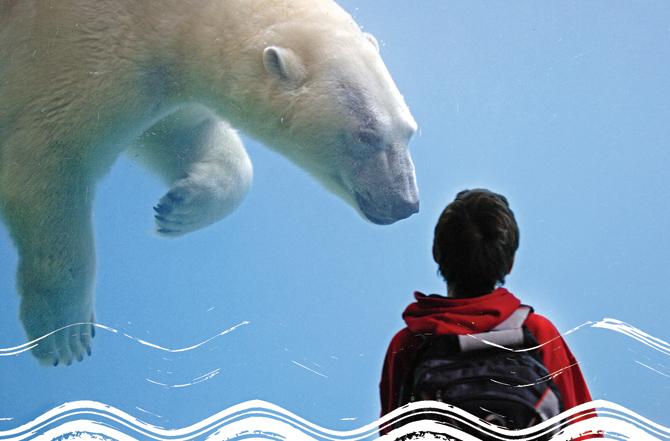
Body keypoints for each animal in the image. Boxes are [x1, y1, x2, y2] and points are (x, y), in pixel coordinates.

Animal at [0, 0, 420, 364]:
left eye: (410, 130)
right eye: (365, 135)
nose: (405, 203)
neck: (176, 14)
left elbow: (183, 131)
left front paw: (179, 208)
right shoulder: (80, 48)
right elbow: (52, 156)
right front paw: (63, 333)